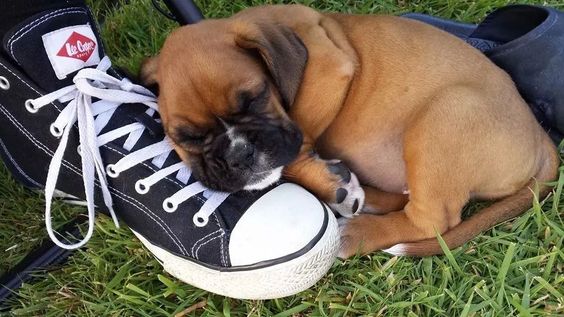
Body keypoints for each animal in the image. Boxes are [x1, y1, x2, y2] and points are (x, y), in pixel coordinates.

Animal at [142, 4, 560, 256]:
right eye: (189, 138)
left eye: (256, 98)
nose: (240, 154)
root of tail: (542, 141)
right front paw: (334, 182)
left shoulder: (329, 69)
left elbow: (296, 144)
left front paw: (325, 180)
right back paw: (364, 198)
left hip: (445, 115)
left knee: (432, 220)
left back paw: (358, 231)